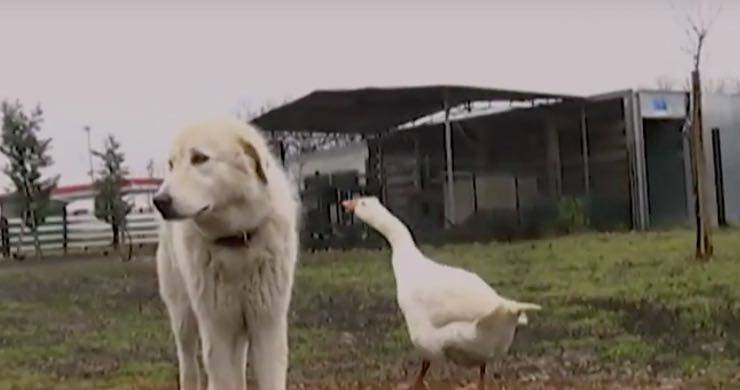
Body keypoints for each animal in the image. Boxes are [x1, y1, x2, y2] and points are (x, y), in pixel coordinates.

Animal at [155, 119, 300, 390]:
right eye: (171, 164)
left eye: (199, 158)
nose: (159, 201)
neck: (236, 241)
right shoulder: (217, 331)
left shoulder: (268, 327)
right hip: (184, 318)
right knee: (188, 366)